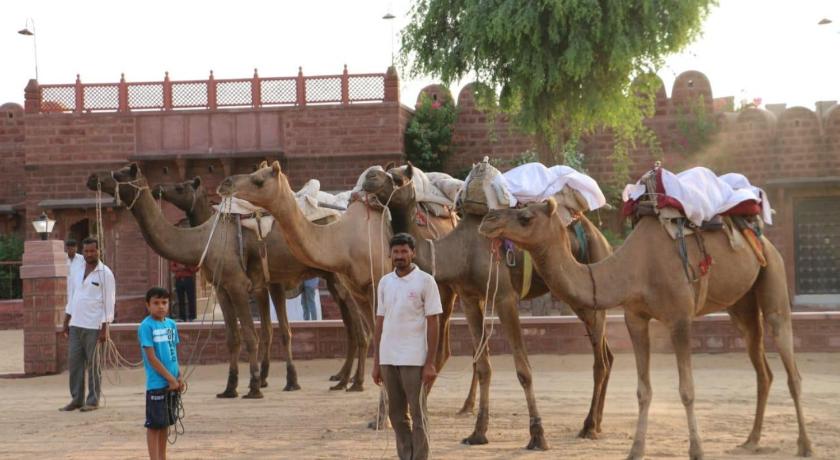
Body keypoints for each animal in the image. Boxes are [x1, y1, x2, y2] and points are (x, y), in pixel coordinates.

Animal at [153, 178, 368, 390]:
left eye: (180, 187)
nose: (158, 189)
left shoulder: (265, 285)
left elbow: (276, 330)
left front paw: (277, 379)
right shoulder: (265, 285)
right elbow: (267, 330)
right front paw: (263, 377)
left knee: (357, 325)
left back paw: (351, 379)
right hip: (332, 279)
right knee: (350, 324)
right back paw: (342, 376)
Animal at [218, 162, 392, 392]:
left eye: (258, 180)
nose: (225, 183)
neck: (341, 240)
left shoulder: (375, 284)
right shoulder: (358, 289)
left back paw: (352, 381)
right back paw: (344, 380)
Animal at [362, 164, 616, 448]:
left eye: (397, 178)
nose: (370, 175)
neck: (461, 251)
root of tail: (602, 239)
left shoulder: (505, 297)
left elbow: (524, 370)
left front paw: (537, 435)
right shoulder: (470, 298)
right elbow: (483, 366)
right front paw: (478, 432)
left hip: (589, 287)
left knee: (600, 361)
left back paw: (589, 426)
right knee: (607, 356)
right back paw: (598, 422)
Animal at [480, 200, 812, 460]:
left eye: (525, 217)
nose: (488, 220)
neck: (635, 268)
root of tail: (760, 237)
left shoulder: (680, 318)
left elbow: (687, 390)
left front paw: (696, 450)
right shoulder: (635, 318)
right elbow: (643, 390)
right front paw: (636, 450)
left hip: (773, 276)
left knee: (790, 363)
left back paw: (805, 445)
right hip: (741, 305)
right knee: (762, 368)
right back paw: (751, 440)